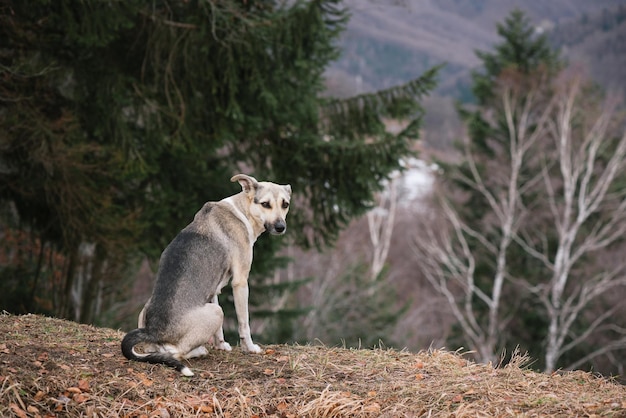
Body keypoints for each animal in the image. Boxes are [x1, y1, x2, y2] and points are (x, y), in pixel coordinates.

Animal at [120, 173, 292, 376]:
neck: (242, 211)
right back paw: (199, 351)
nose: (281, 227)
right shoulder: (240, 282)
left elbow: (219, 331)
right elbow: (244, 322)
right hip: (217, 312)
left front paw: (221, 345)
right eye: (265, 204)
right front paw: (250, 348)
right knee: (175, 353)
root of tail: (153, 331)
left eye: (285, 204)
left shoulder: (213, 290)